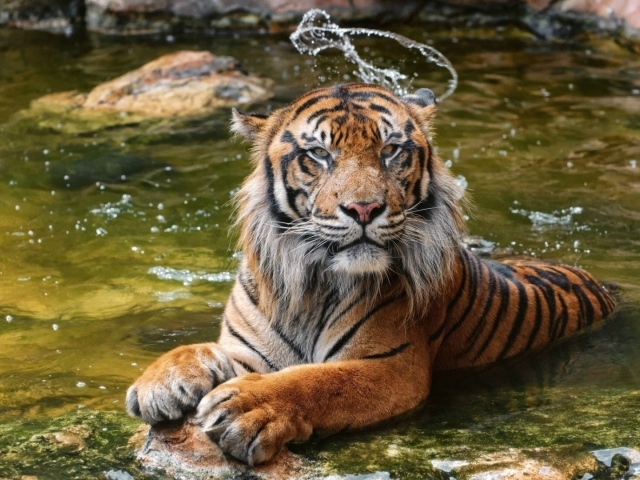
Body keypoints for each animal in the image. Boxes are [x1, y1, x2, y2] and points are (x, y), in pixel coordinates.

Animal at [126, 83, 616, 466]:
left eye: (390, 150)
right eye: (320, 154)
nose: (364, 208)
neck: (312, 284)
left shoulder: (392, 365)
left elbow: (317, 381)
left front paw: (245, 407)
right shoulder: (245, 350)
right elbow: (198, 350)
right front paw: (159, 382)